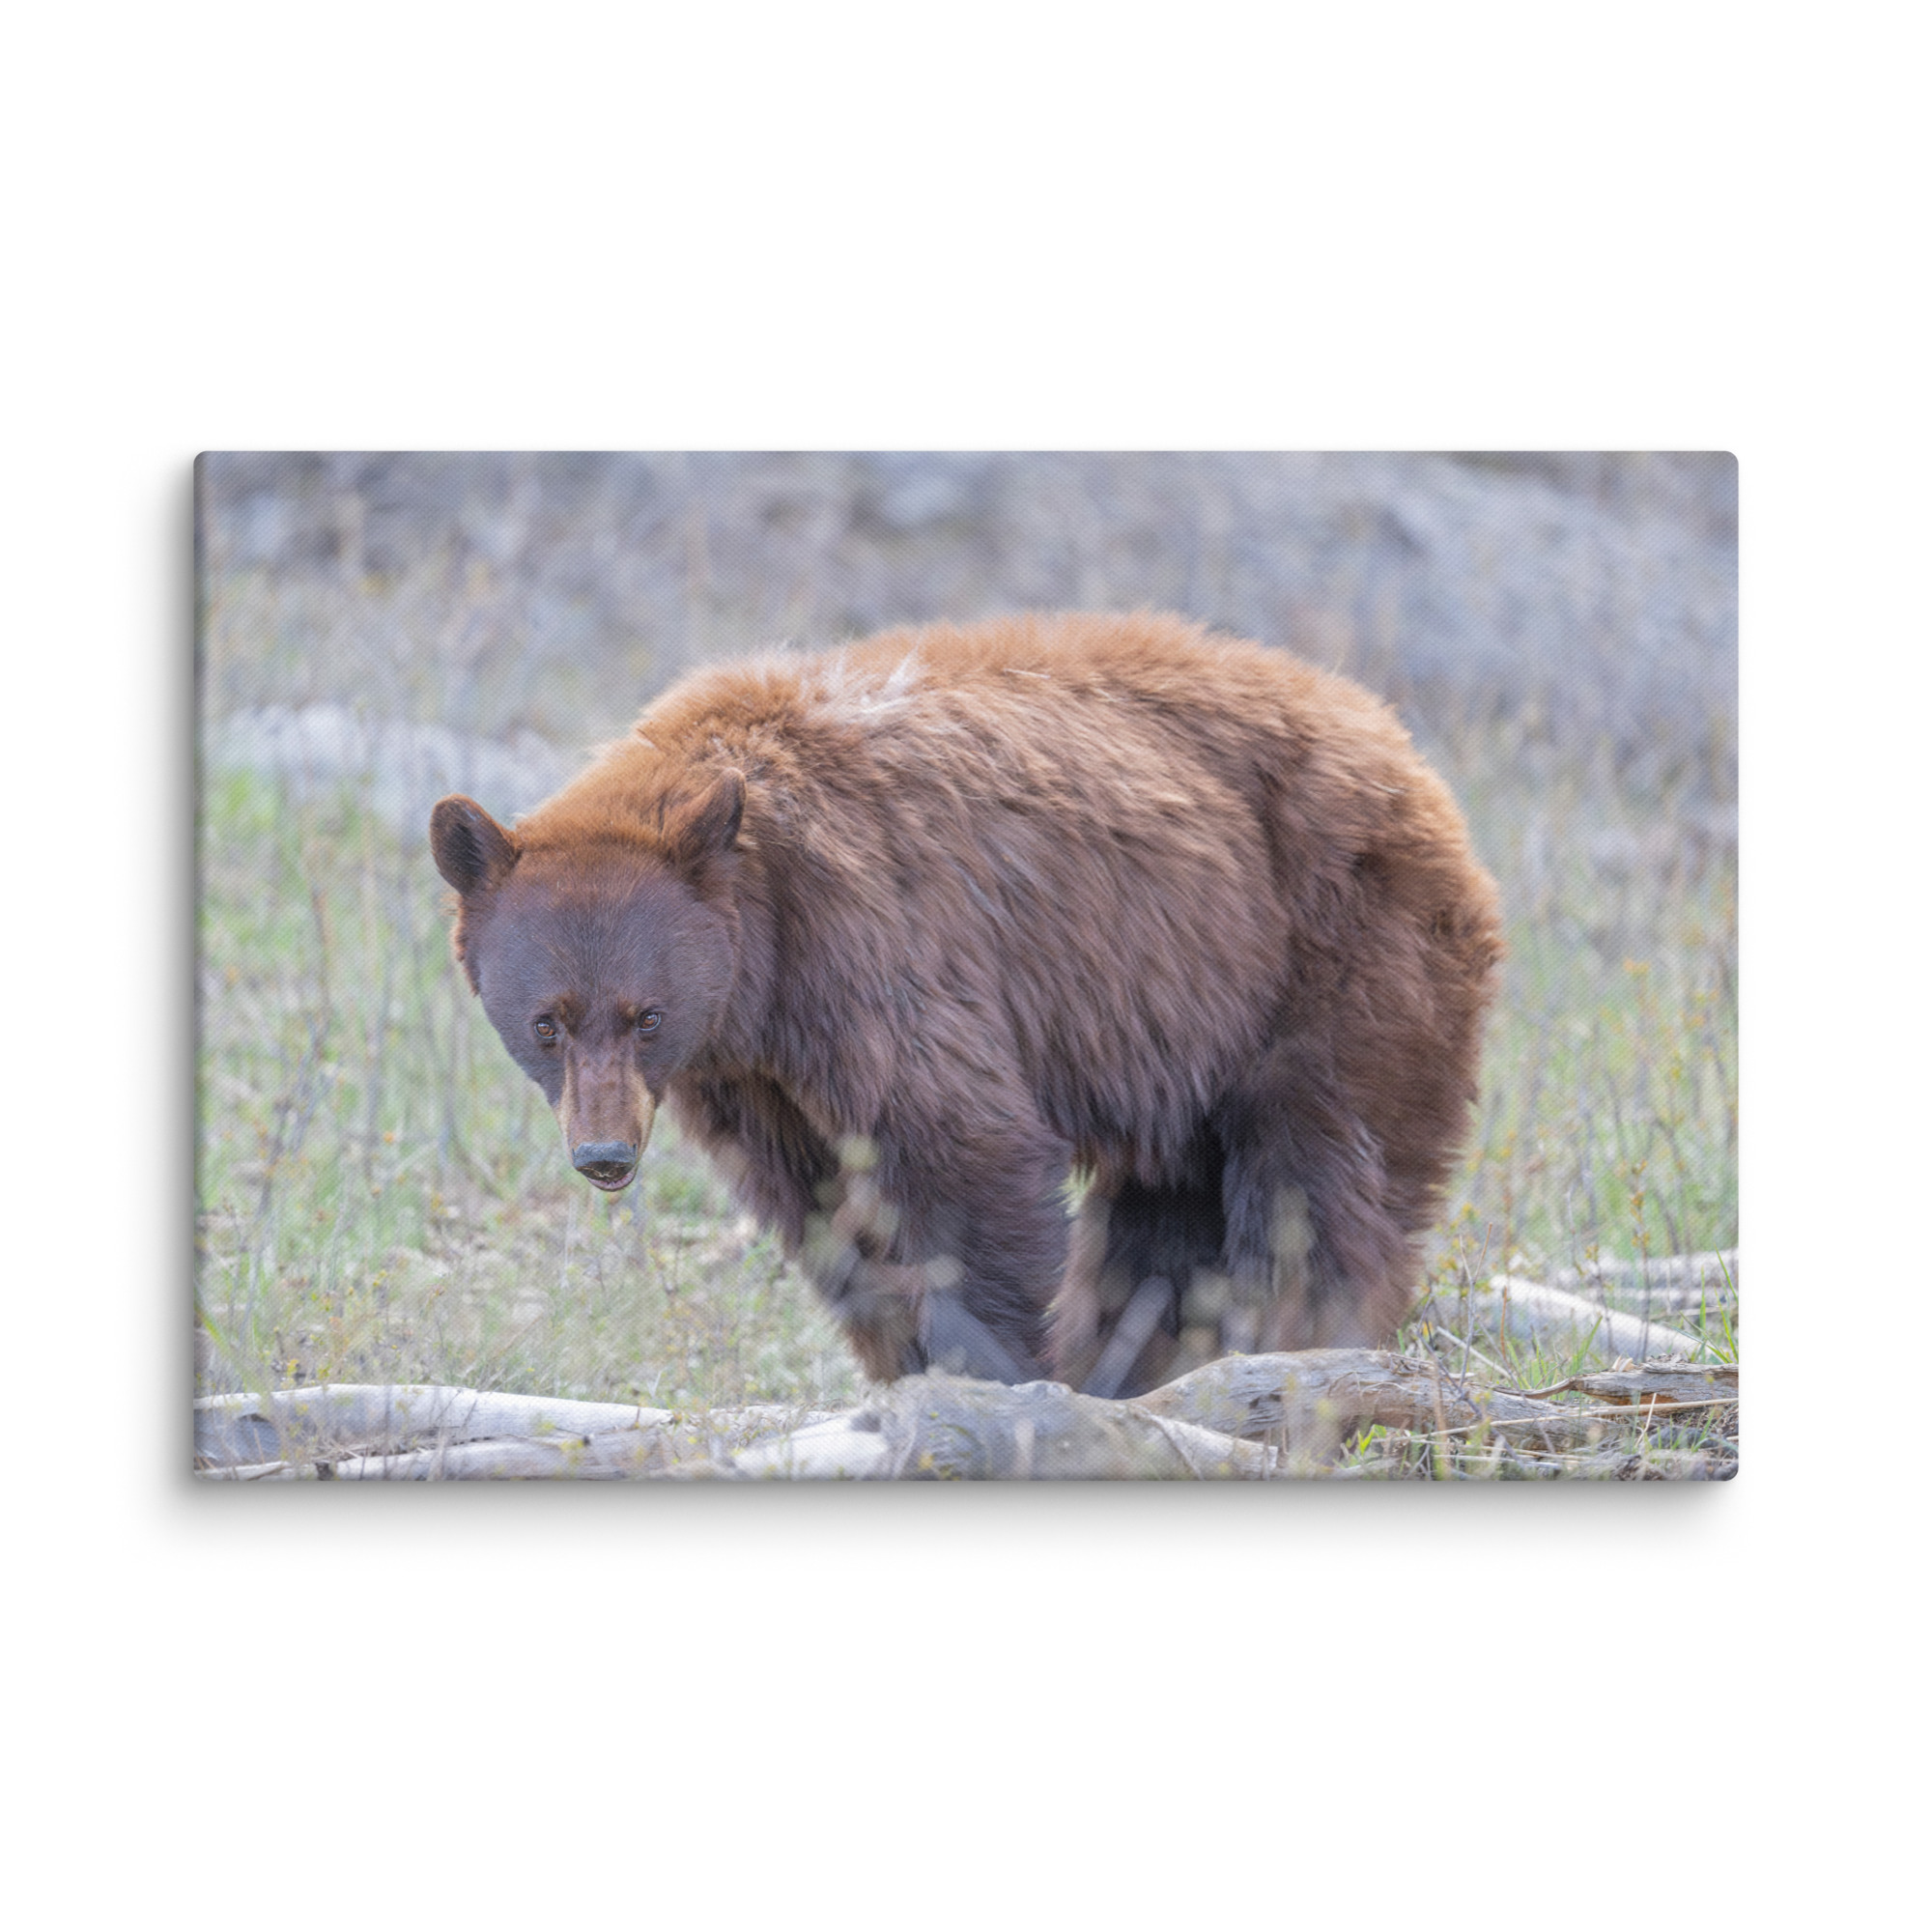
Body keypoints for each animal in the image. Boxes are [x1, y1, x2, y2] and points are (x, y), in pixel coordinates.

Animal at [430, 611, 1502, 1398]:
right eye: (547, 1023)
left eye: (645, 1014)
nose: (604, 1154)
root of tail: (1398, 742)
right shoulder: (752, 1073)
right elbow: (823, 1205)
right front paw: (908, 1363)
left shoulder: (874, 946)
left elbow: (960, 1152)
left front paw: (992, 1369)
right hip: (1189, 1023)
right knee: (1166, 1209)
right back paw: (1142, 1360)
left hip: (1332, 950)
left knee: (1317, 1174)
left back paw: (1292, 1341)